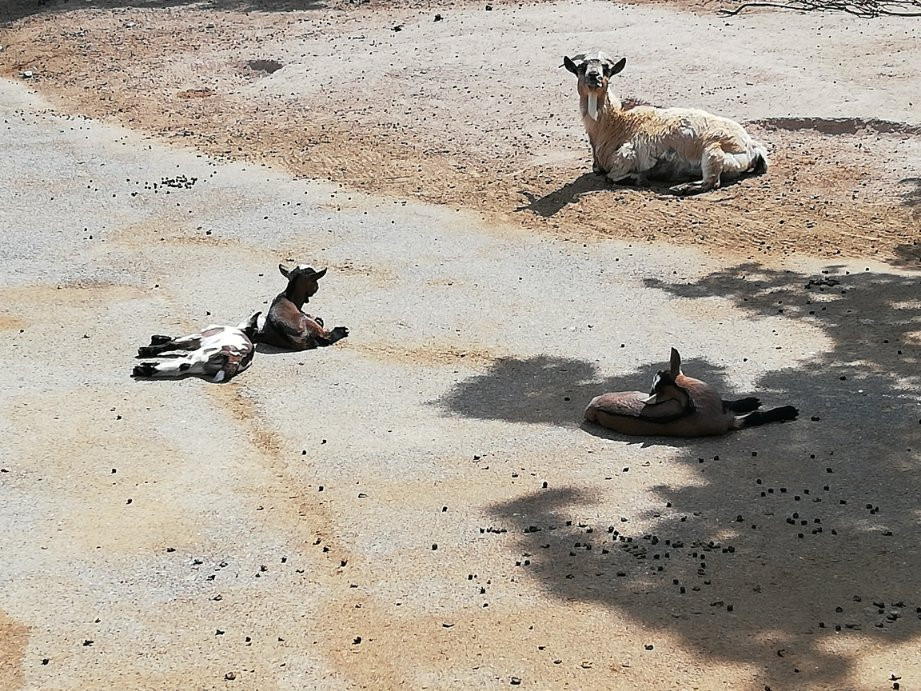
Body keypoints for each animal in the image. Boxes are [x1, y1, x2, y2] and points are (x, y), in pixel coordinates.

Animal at [560, 51, 768, 195]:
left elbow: (611, 177)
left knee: (712, 182)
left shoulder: (626, 156)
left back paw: (681, 188)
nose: (593, 76)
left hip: (713, 151)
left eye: (607, 69)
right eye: (581, 67)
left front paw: (640, 179)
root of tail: (752, 147)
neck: (614, 124)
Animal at [584, 348, 796, 440]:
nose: (651, 392)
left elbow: (729, 402)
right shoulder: (730, 423)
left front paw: (750, 400)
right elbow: (755, 417)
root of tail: (591, 407)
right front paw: (788, 410)